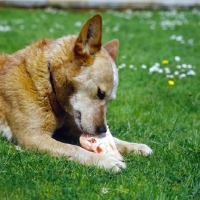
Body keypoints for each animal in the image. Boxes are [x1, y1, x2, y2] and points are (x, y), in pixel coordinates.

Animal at [0, 13, 152, 171]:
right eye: (100, 93)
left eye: (109, 100)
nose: (102, 130)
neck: (49, 85)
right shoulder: (33, 137)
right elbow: (73, 149)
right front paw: (105, 160)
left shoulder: (70, 127)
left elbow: (115, 140)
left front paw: (134, 146)